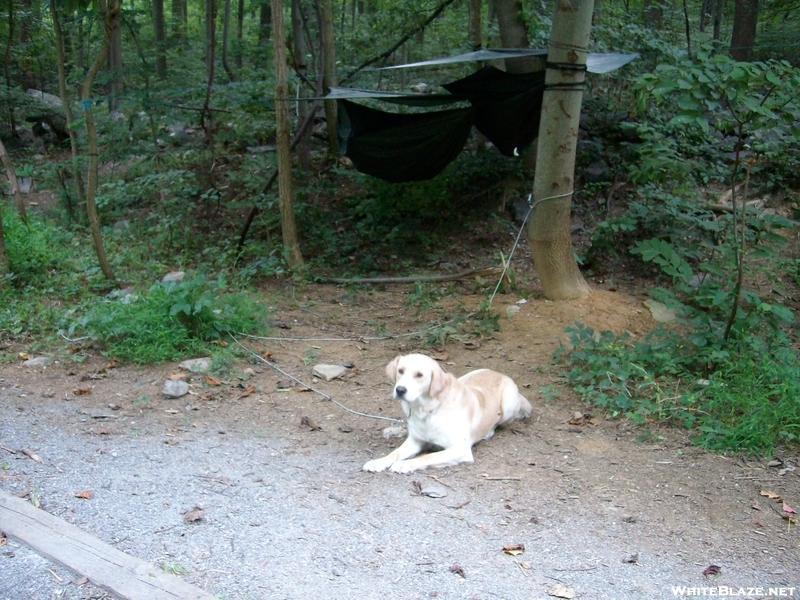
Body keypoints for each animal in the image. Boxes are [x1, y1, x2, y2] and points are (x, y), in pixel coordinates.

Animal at [362, 352, 532, 474]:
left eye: (419, 375)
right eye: (400, 371)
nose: (400, 390)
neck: (428, 409)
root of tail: (501, 374)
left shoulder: (460, 450)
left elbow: (427, 457)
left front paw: (405, 464)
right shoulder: (415, 441)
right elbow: (395, 453)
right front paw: (379, 462)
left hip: (508, 405)